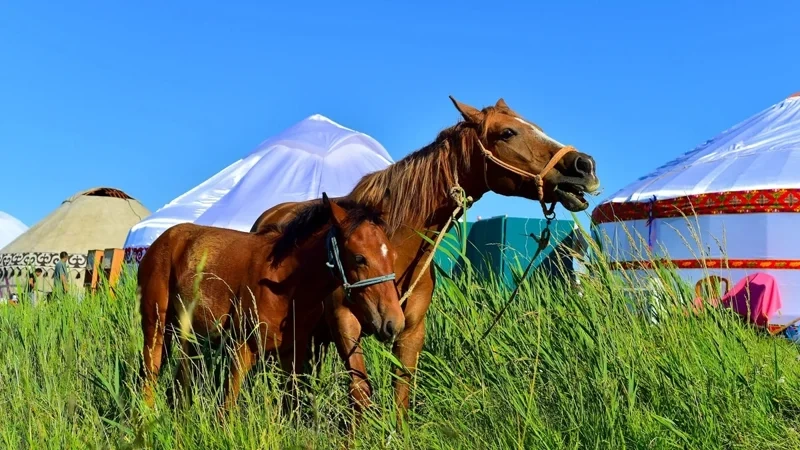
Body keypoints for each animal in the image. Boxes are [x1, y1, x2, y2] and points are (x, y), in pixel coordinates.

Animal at [137, 192, 405, 412]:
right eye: (360, 258)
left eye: (392, 254)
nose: (394, 323)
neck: (286, 287)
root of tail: (160, 242)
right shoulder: (242, 348)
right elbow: (227, 407)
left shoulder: (291, 354)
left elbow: (290, 406)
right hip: (156, 326)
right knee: (150, 374)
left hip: (188, 334)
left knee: (181, 379)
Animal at [250, 96, 602, 421]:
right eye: (507, 132)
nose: (584, 166)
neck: (390, 246)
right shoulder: (344, 322)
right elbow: (360, 392)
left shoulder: (411, 330)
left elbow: (401, 393)